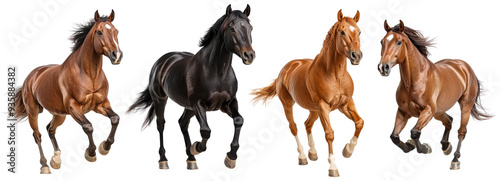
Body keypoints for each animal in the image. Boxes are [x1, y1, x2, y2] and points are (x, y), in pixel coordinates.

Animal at [13, 9, 123, 174]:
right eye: (99, 32)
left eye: (116, 31)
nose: (117, 56)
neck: (89, 75)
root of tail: (31, 76)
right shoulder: (73, 107)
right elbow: (88, 126)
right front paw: (91, 152)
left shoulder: (101, 104)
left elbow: (115, 118)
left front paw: (105, 146)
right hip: (33, 112)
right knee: (37, 135)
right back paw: (45, 165)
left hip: (59, 114)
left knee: (50, 129)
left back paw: (56, 159)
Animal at [128, 4, 254, 170]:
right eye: (232, 28)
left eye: (250, 28)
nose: (249, 55)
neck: (218, 72)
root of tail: (162, 61)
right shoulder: (198, 104)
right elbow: (206, 131)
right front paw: (197, 147)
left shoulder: (228, 103)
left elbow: (239, 120)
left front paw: (231, 157)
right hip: (161, 100)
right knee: (161, 125)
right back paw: (164, 160)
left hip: (188, 107)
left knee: (182, 123)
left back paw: (191, 159)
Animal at [254, 9, 364, 177]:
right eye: (342, 32)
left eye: (359, 31)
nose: (356, 56)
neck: (335, 75)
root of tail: (286, 68)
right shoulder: (324, 107)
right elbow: (330, 134)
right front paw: (333, 167)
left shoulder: (346, 104)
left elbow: (359, 122)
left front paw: (348, 150)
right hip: (289, 105)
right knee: (294, 127)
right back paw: (303, 156)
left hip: (314, 110)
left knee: (307, 124)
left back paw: (312, 152)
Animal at [378, 20, 492, 170]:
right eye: (382, 42)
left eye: (398, 42)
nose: (383, 67)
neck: (416, 80)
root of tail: (465, 67)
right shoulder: (403, 112)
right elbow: (394, 137)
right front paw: (409, 146)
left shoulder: (428, 111)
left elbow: (415, 132)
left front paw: (425, 148)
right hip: (439, 111)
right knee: (449, 121)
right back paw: (445, 146)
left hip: (465, 106)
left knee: (461, 131)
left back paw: (455, 159)